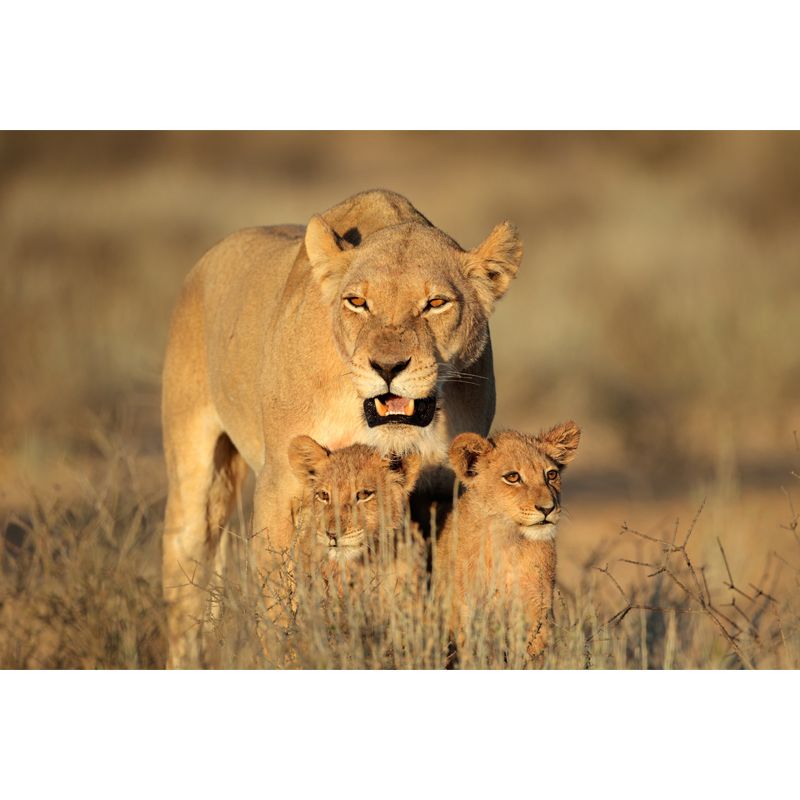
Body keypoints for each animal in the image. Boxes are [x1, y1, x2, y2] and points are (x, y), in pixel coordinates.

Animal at [162, 189, 523, 667]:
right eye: (358, 302)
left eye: (435, 304)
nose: (387, 367)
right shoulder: (281, 485)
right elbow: (279, 603)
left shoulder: (441, 494)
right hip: (194, 473)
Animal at [435, 422, 581, 660]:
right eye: (513, 477)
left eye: (551, 474)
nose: (548, 508)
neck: (507, 542)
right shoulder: (467, 609)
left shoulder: (537, 608)